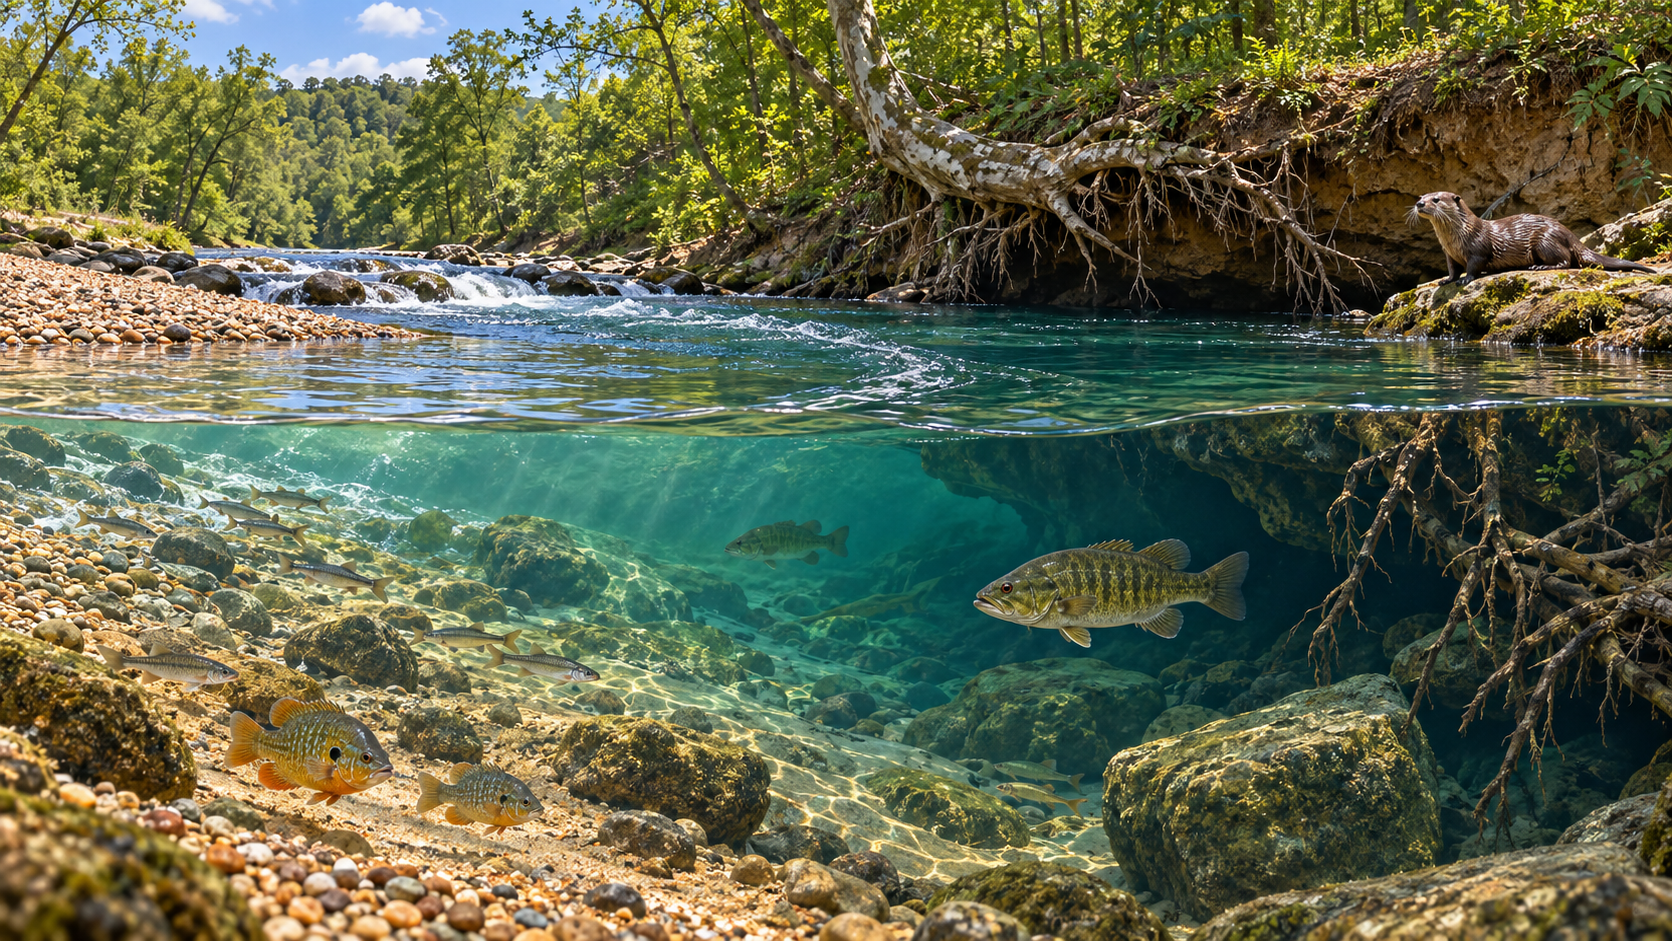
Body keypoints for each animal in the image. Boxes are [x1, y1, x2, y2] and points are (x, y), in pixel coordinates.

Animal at [1411, 191, 1655, 285]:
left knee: (1566, 261)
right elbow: (1453, 269)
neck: (1458, 236)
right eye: (1421, 196)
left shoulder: (1477, 248)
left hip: (1545, 241)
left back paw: (1540, 267)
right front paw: (1446, 280)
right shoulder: (1449, 254)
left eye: (1436, 199)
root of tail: (1569, 233)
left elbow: (1473, 267)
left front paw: (1465, 279)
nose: (1419, 203)